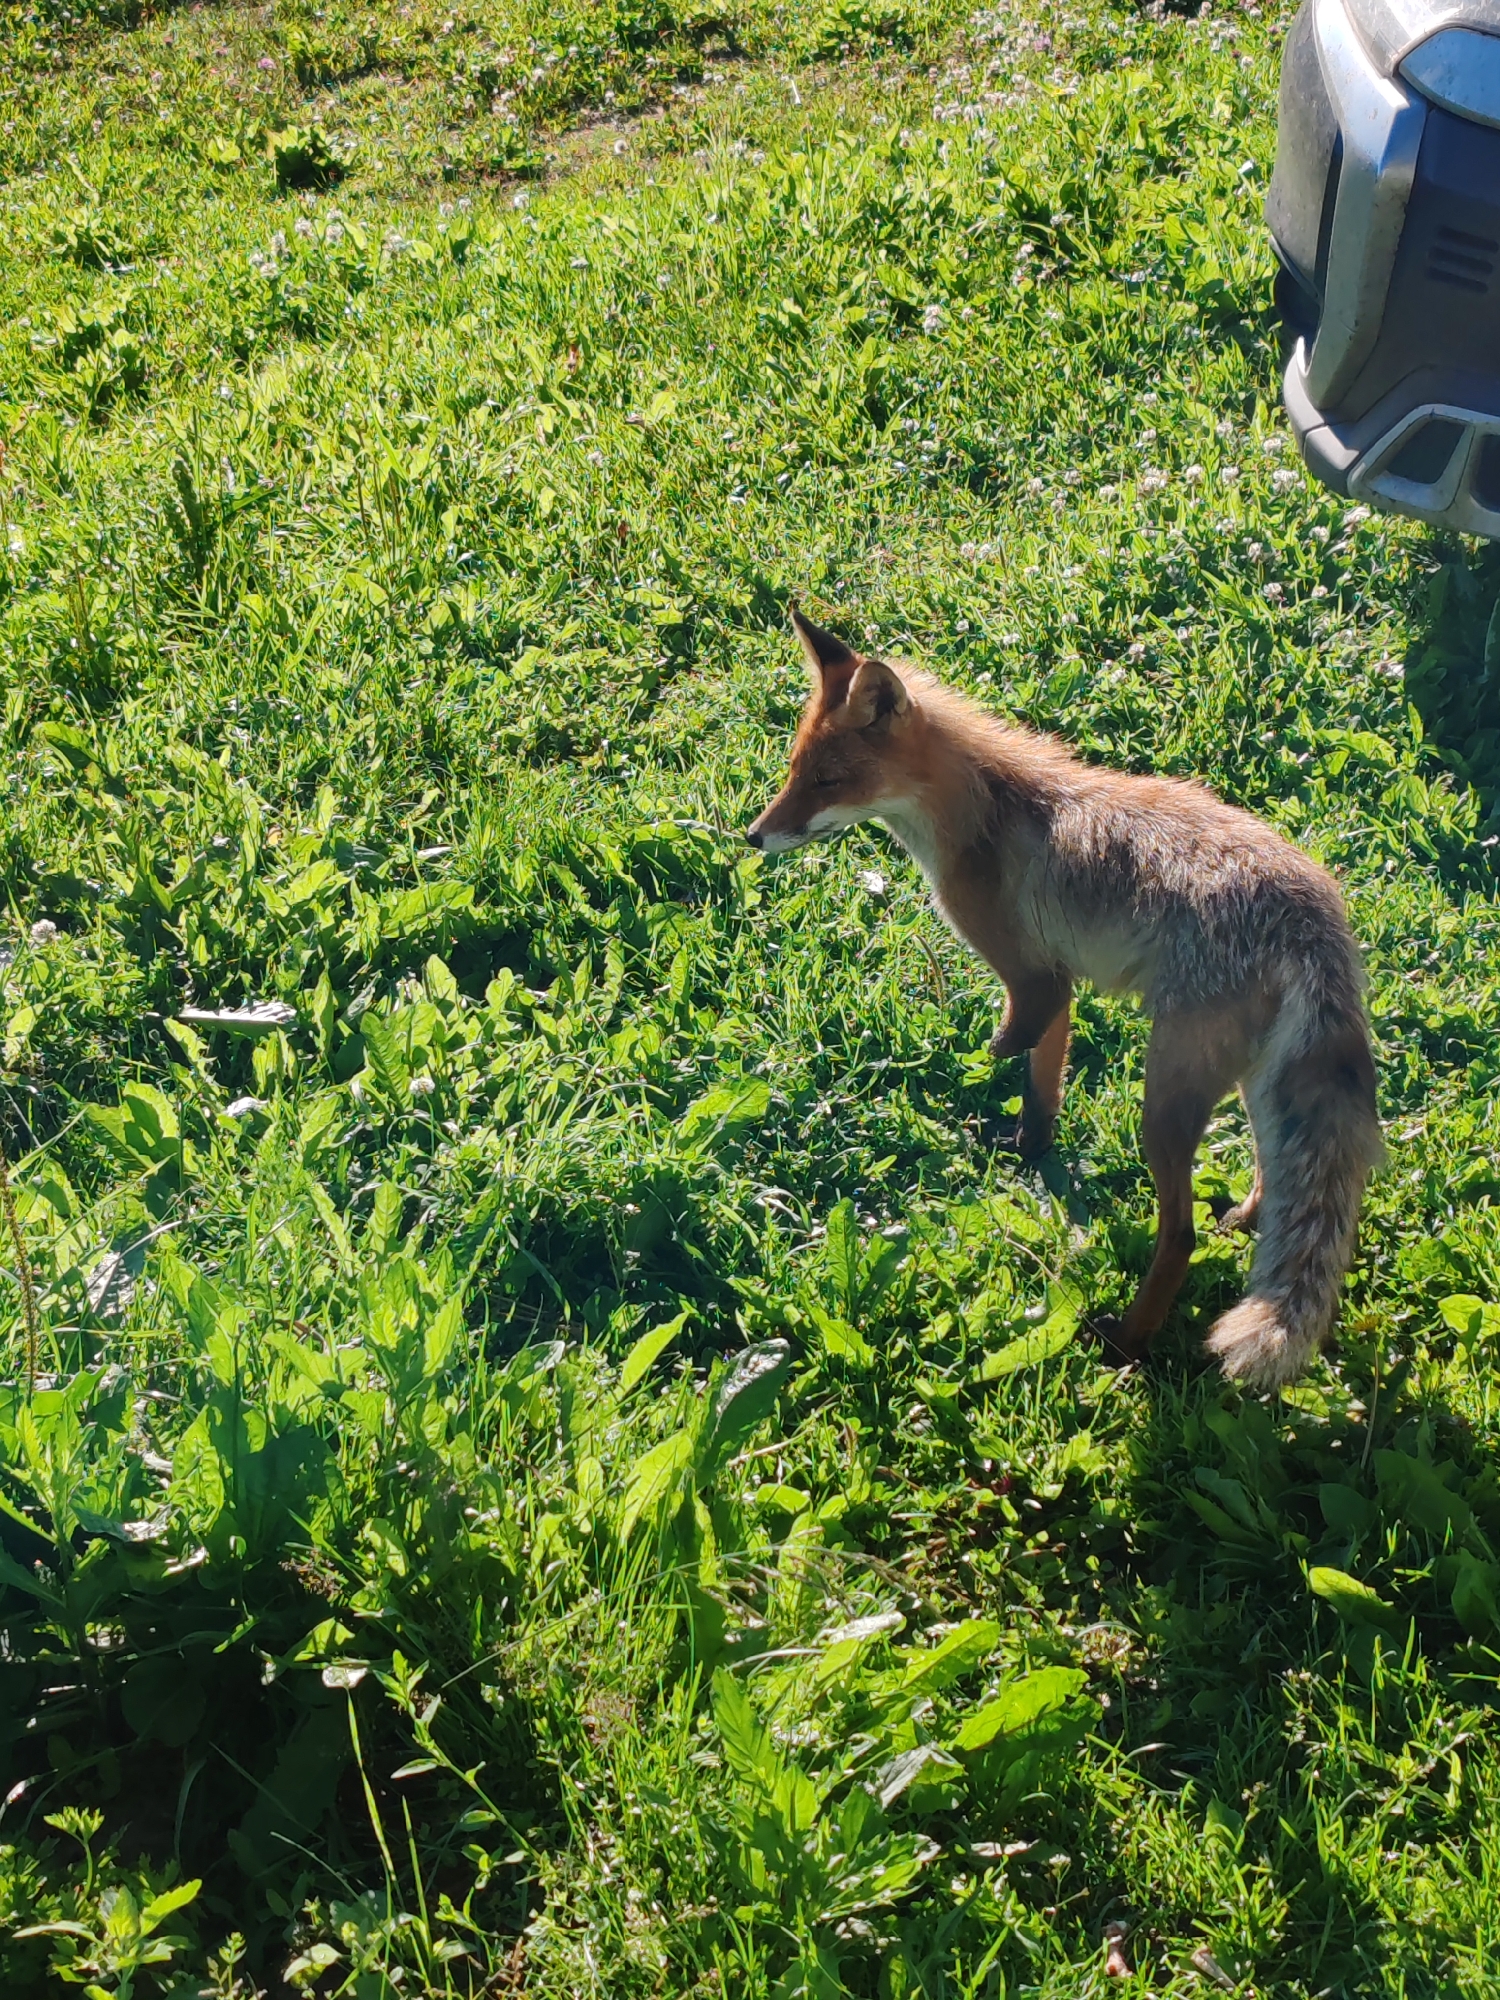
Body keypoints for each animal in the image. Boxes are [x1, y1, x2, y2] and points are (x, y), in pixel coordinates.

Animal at [747, 607, 1385, 1389]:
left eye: (829, 780)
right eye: (793, 772)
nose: (754, 836)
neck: (983, 810)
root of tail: (1314, 915)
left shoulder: (1033, 978)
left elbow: (1016, 1044)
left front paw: (992, 1081)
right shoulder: (1060, 981)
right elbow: (1043, 1082)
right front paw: (1030, 1149)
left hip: (1165, 1097)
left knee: (1179, 1235)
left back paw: (1127, 1345)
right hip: (1254, 1083)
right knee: (1274, 1175)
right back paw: (1243, 1221)